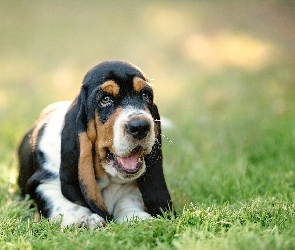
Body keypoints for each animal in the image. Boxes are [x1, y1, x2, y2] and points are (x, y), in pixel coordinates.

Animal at [17, 60, 176, 229]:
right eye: (105, 100)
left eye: (145, 95)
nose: (140, 127)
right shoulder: (45, 183)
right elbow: (66, 204)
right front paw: (86, 219)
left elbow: (127, 201)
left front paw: (139, 218)